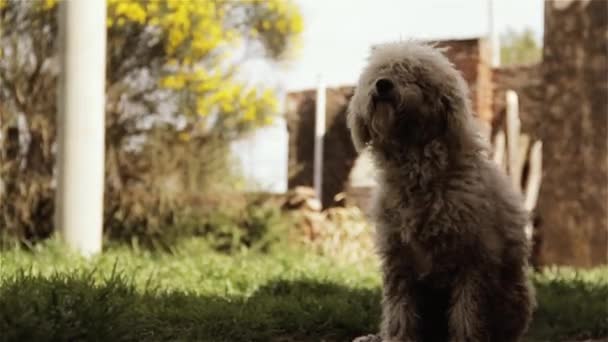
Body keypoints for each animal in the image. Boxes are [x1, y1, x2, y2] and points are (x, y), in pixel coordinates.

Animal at [350, 41, 536, 340]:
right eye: (380, 72)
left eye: (414, 76)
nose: (383, 84)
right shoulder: (399, 262)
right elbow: (399, 314)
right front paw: (396, 337)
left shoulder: (473, 261)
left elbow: (466, 316)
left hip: (514, 297)